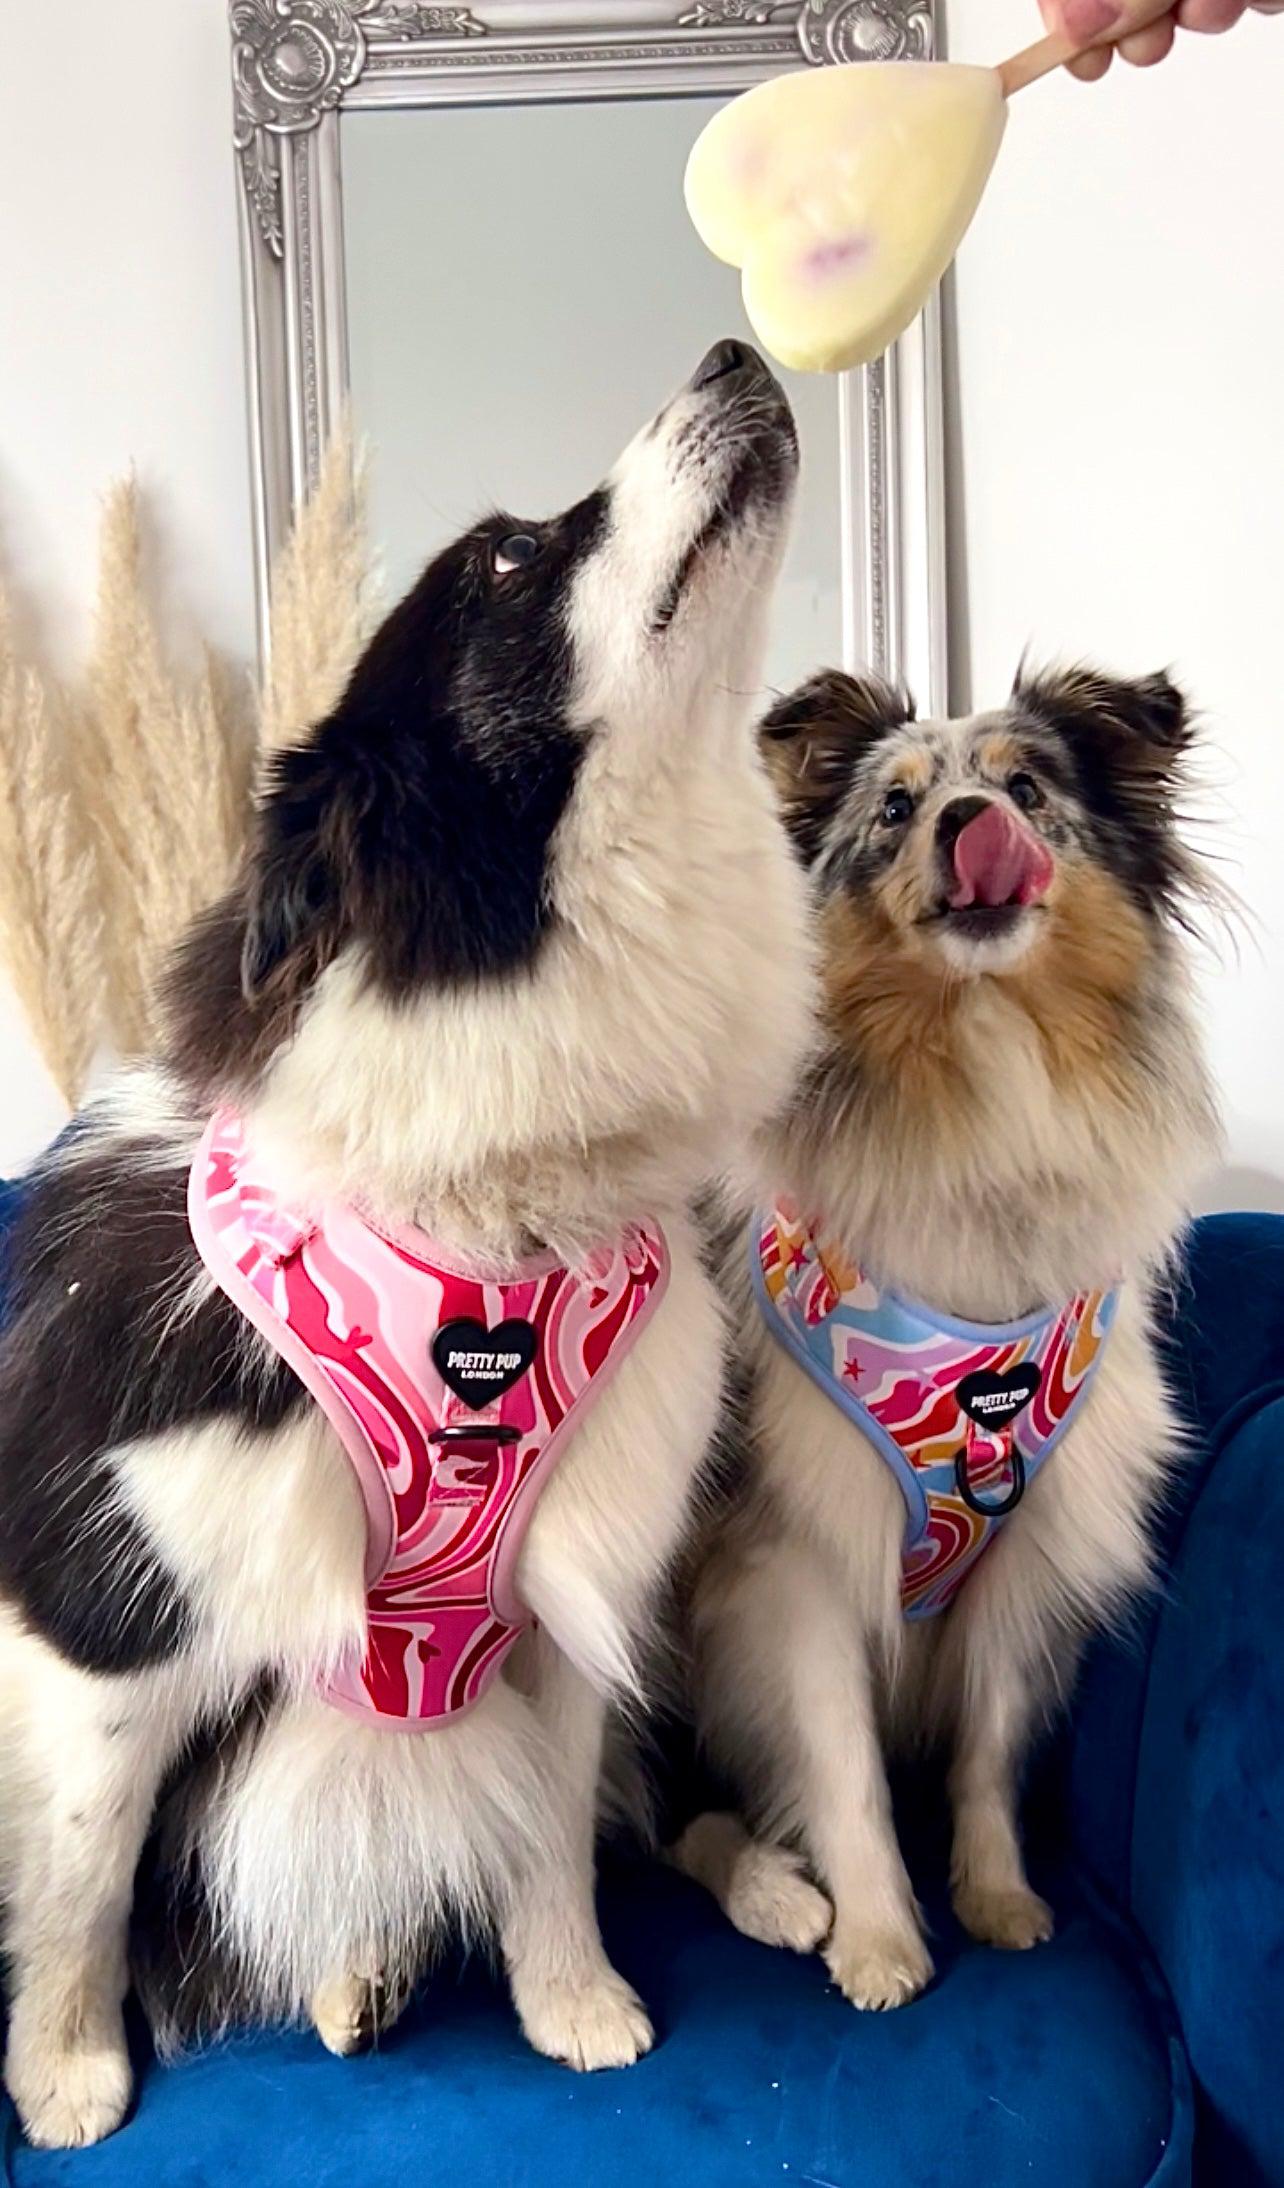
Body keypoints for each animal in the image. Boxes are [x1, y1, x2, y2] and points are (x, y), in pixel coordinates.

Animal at [0, 350, 813, 2144]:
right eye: (508, 559)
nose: (735, 357)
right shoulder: (112, 1607)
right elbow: (86, 1872)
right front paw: (68, 2068)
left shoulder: (572, 1588)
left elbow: (552, 1838)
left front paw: (573, 2001)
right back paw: (345, 1980)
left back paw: (779, 1885)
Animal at [678, 665, 1224, 2012]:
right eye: (893, 808)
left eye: (1028, 788)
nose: (974, 824)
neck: (981, 1085)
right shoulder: (799, 1556)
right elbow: (847, 1771)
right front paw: (881, 1936)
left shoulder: (1030, 1545)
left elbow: (987, 1745)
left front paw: (998, 1895)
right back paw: (781, 1895)